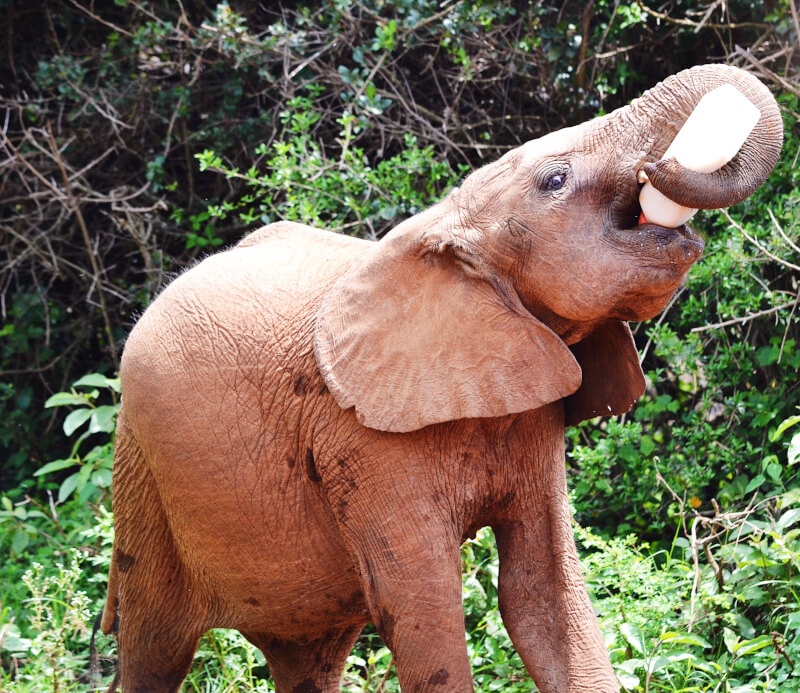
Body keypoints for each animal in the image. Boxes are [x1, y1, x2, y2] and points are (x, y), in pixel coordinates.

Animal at [101, 64, 782, 692]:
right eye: (554, 180)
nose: (659, 168)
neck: (446, 229)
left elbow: (543, 596)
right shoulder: (360, 443)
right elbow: (421, 610)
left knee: (307, 658)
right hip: (140, 473)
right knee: (154, 646)